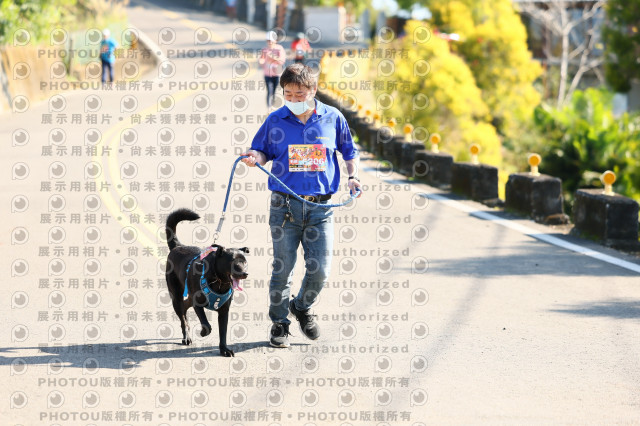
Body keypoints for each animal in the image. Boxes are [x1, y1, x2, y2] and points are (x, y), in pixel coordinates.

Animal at [165, 208, 249, 357]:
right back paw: (186, 337)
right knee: (182, 317)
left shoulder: (224, 311)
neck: (219, 282)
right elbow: (207, 325)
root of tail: (177, 246)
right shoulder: (198, 304)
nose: (245, 274)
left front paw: (224, 349)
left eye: (244, 261)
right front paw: (203, 332)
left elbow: (223, 332)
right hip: (176, 297)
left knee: (185, 307)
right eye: (233, 262)